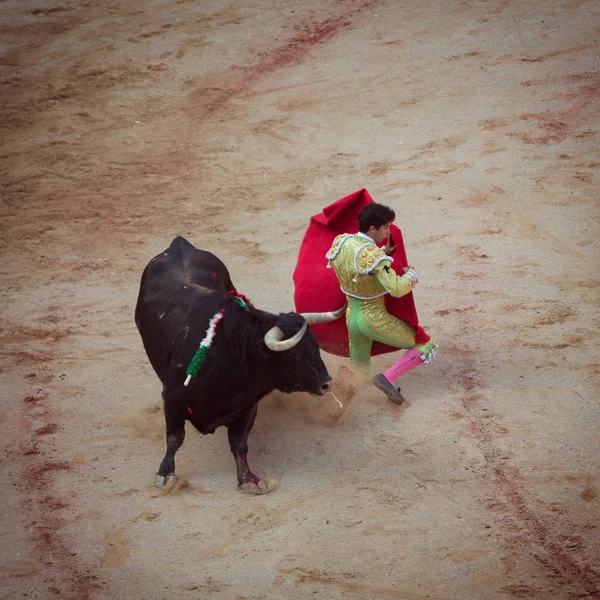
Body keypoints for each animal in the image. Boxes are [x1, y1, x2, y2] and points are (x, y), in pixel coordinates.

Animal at [134, 237, 344, 494]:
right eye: (294, 354)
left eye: (315, 346)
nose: (326, 384)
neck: (230, 352)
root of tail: (179, 244)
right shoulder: (173, 398)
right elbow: (175, 438)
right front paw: (166, 474)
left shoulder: (246, 405)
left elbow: (240, 444)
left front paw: (248, 478)